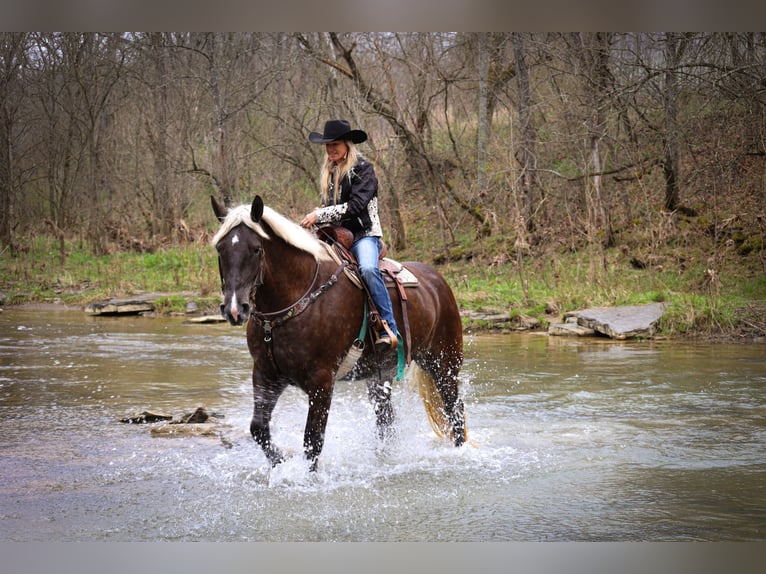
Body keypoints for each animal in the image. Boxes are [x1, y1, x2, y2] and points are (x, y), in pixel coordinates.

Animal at [212, 196, 468, 470]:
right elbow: (259, 429)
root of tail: (438, 282)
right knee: (386, 419)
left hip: (444, 362)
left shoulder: (322, 381)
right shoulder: (265, 374)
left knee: (454, 408)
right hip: (381, 375)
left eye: (256, 249)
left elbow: (313, 440)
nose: (235, 309)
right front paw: (281, 462)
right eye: (220, 249)